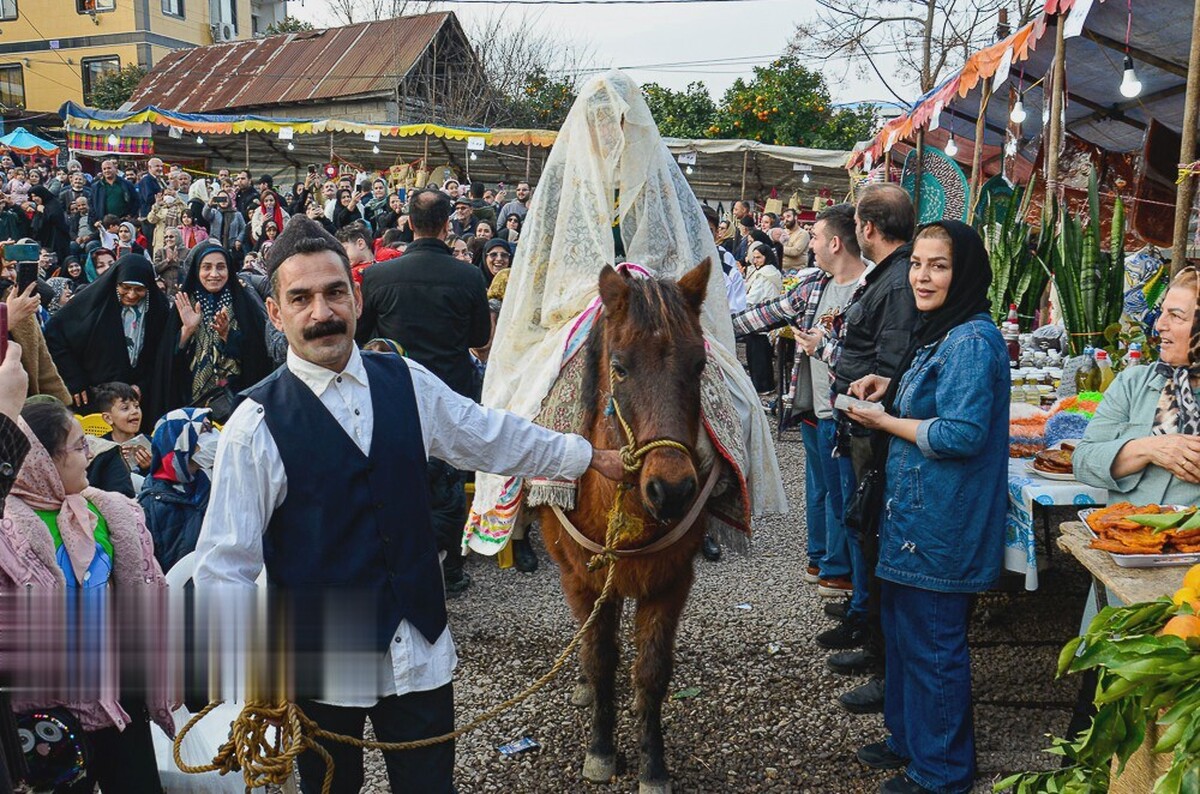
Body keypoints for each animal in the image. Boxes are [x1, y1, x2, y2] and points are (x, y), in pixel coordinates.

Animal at [542, 257, 710, 791]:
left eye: (699, 366)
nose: (672, 489)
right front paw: (601, 749)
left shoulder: (672, 579)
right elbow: (600, 659)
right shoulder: (584, 577)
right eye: (619, 367)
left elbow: (652, 670)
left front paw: (652, 764)